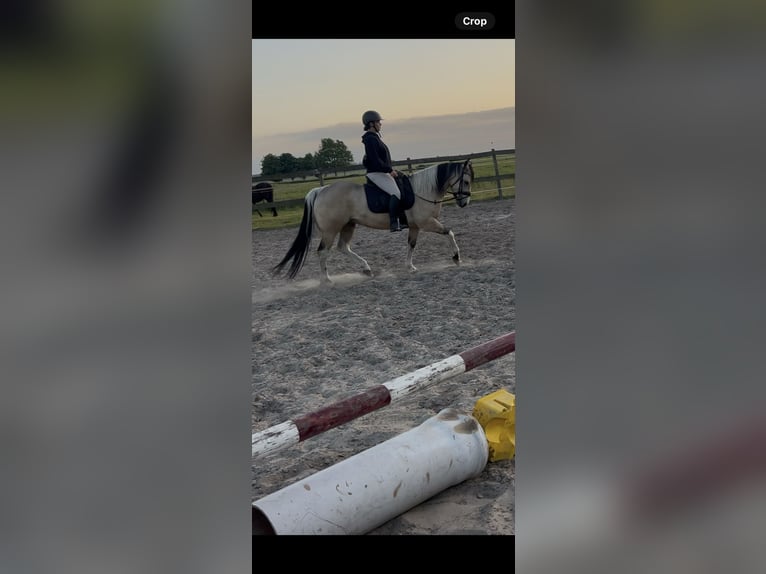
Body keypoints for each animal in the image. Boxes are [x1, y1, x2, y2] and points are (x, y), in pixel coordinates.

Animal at [271, 159, 474, 283]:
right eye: (466, 181)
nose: (464, 202)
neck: (422, 191)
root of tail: (320, 190)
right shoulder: (426, 222)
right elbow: (449, 232)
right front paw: (456, 257)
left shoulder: (415, 226)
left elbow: (411, 245)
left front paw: (410, 267)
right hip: (330, 230)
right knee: (323, 252)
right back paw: (326, 280)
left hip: (348, 225)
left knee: (343, 248)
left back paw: (366, 269)